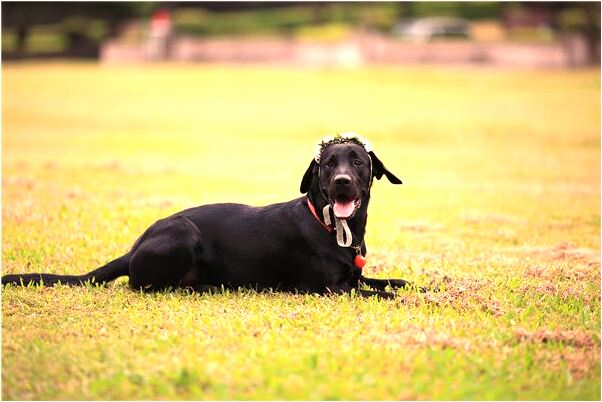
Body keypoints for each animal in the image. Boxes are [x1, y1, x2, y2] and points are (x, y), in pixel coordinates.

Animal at [1, 135, 418, 298]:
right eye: (328, 165)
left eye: (358, 162)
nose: (343, 182)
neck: (331, 226)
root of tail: (134, 247)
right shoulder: (333, 289)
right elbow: (385, 296)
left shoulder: (354, 278)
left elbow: (397, 283)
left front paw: (425, 289)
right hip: (182, 233)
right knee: (143, 285)